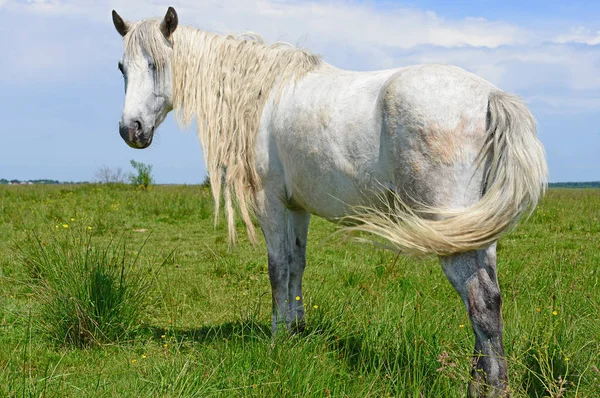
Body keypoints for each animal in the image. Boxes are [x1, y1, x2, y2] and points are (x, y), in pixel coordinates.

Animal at [110, 7, 548, 396]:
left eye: (156, 64)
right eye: (121, 68)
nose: (131, 131)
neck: (261, 94)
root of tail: (490, 96)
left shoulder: (270, 202)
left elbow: (277, 268)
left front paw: (278, 338)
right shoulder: (296, 207)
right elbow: (296, 265)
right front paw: (297, 330)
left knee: (481, 301)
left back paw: (491, 389)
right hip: (475, 231)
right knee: (487, 300)